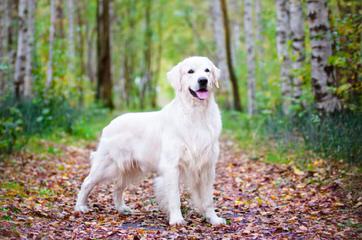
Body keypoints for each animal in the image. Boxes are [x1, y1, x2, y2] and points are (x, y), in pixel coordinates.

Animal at [75, 55, 225, 225]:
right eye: (190, 71)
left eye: (207, 70)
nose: (203, 81)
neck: (197, 114)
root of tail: (110, 124)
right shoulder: (172, 165)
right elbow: (175, 197)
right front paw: (177, 219)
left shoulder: (207, 166)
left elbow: (208, 199)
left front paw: (213, 219)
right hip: (106, 165)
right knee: (87, 182)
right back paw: (80, 207)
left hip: (130, 169)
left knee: (118, 187)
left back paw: (122, 208)